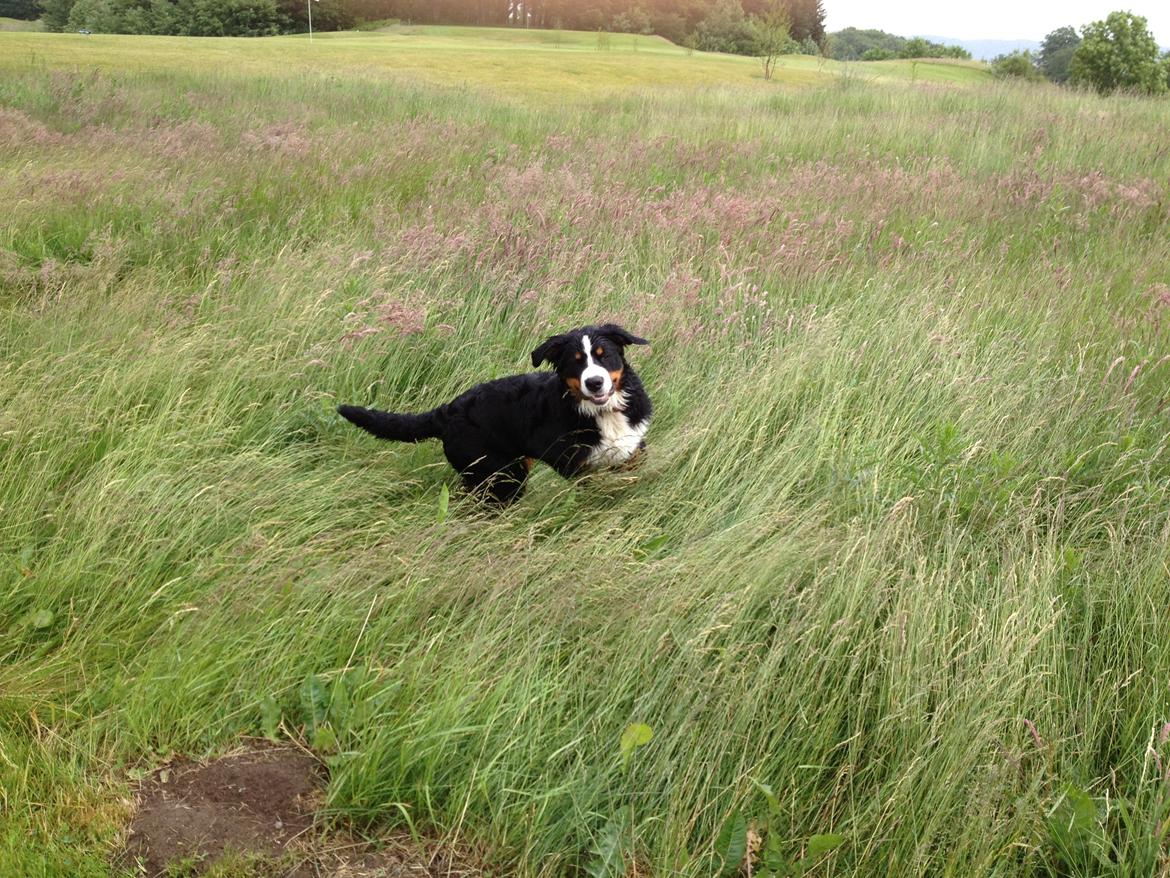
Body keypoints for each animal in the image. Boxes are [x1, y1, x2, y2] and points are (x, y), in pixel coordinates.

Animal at [336, 323, 650, 505]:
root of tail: (446, 411)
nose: (594, 382)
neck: (602, 412)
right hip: (502, 475)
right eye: (576, 363)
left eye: (604, 355)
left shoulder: (632, 445)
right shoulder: (575, 463)